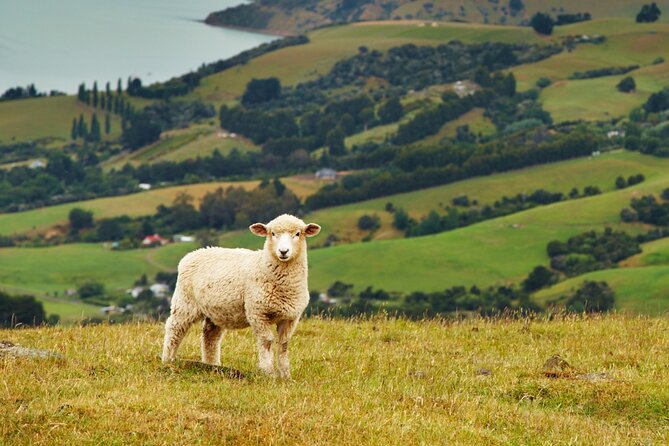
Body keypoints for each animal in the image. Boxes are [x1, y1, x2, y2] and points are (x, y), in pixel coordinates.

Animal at [161, 214, 321, 378]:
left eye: (298, 234)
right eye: (272, 233)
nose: (283, 251)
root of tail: (193, 253)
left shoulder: (290, 317)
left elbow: (283, 344)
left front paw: (285, 375)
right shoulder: (257, 312)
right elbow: (267, 341)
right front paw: (268, 373)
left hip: (216, 311)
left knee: (210, 336)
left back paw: (212, 365)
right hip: (185, 302)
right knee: (174, 329)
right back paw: (168, 360)